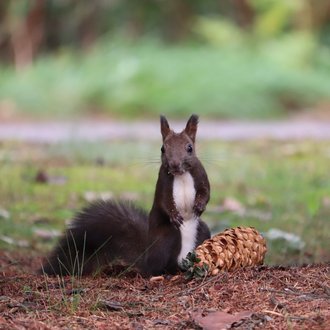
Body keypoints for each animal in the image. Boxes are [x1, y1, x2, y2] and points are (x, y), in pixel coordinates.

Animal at [41, 114, 210, 278]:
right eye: (162, 148)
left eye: (189, 148)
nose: (174, 164)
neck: (181, 175)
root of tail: (146, 258)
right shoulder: (163, 183)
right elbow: (164, 202)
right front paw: (174, 215)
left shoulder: (201, 175)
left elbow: (206, 192)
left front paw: (199, 206)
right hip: (168, 237)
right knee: (157, 268)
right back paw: (167, 273)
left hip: (202, 231)